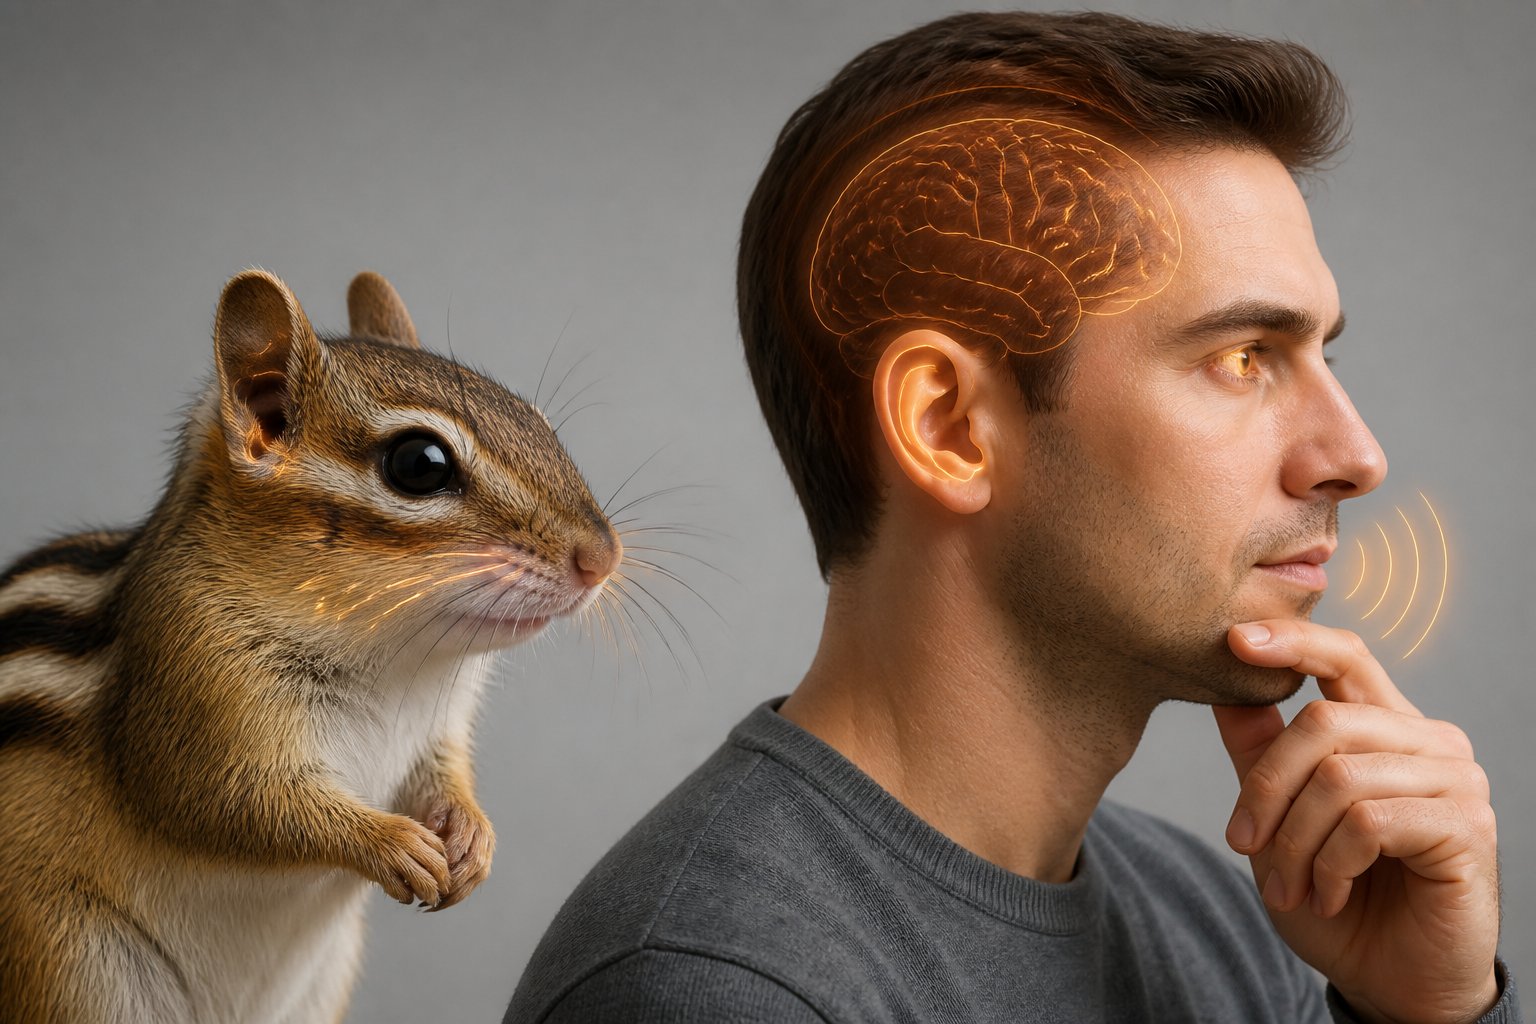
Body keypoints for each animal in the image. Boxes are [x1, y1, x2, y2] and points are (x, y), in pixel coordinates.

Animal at [0, 269, 623, 1023]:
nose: (603, 557)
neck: (394, 662)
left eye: (538, 422)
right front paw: (393, 843)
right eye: (419, 463)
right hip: (77, 971)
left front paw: (474, 837)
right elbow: (232, 803)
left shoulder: (437, 728)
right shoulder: (190, 689)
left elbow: (443, 774)